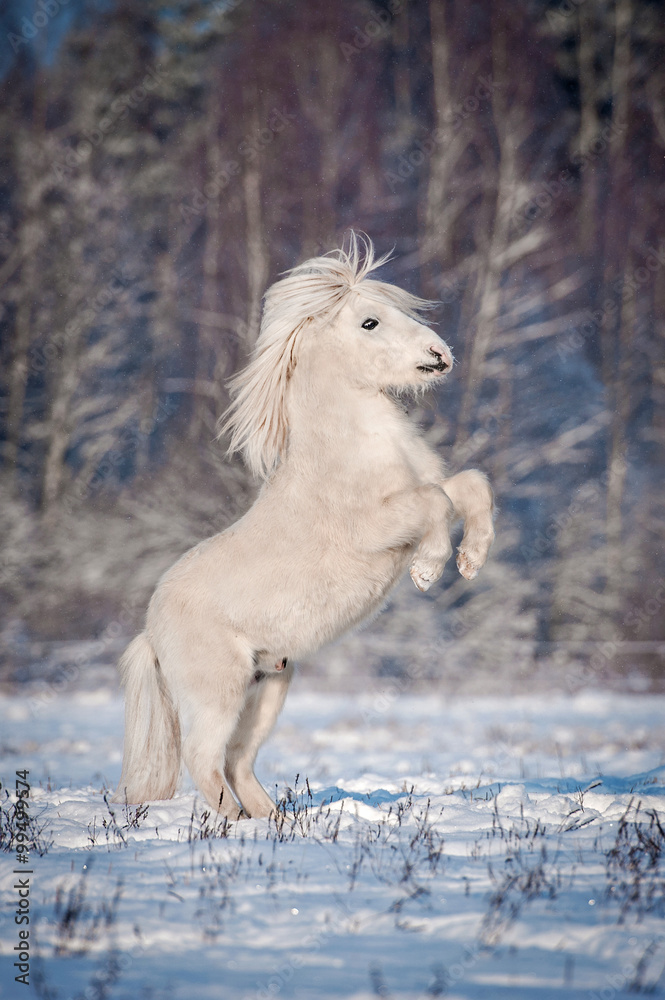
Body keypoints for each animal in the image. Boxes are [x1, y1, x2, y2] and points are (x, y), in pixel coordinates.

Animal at [114, 236, 492, 820]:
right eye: (369, 322)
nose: (440, 355)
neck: (354, 449)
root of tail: (150, 633)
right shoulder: (380, 526)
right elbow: (435, 502)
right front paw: (429, 572)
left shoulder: (431, 492)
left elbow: (469, 486)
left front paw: (472, 561)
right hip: (217, 692)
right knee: (204, 759)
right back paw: (235, 826)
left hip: (270, 684)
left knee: (238, 762)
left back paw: (275, 823)